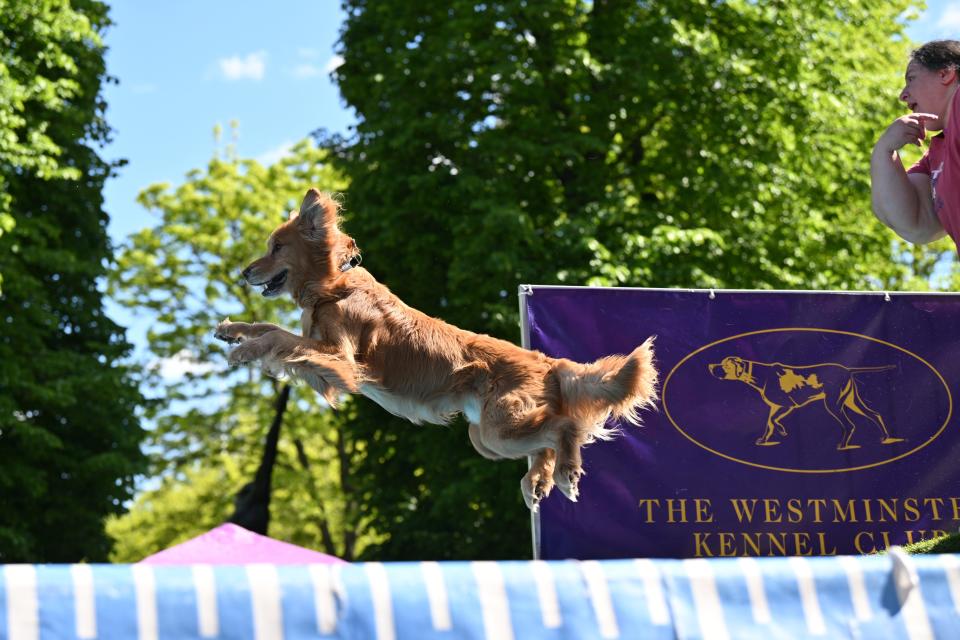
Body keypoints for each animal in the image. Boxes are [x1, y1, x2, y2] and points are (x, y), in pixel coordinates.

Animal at [214, 190, 656, 510]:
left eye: (276, 248)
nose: (244, 273)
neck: (331, 286)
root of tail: (547, 362)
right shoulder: (322, 353)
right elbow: (271, 328)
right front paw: (232, 331)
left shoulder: (340, 360)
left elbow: (280, 339)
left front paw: (243, 353)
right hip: (487, 437)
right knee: (549, 438)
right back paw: (539, 483)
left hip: (499, 428)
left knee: (564, 428)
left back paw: (564, 475)